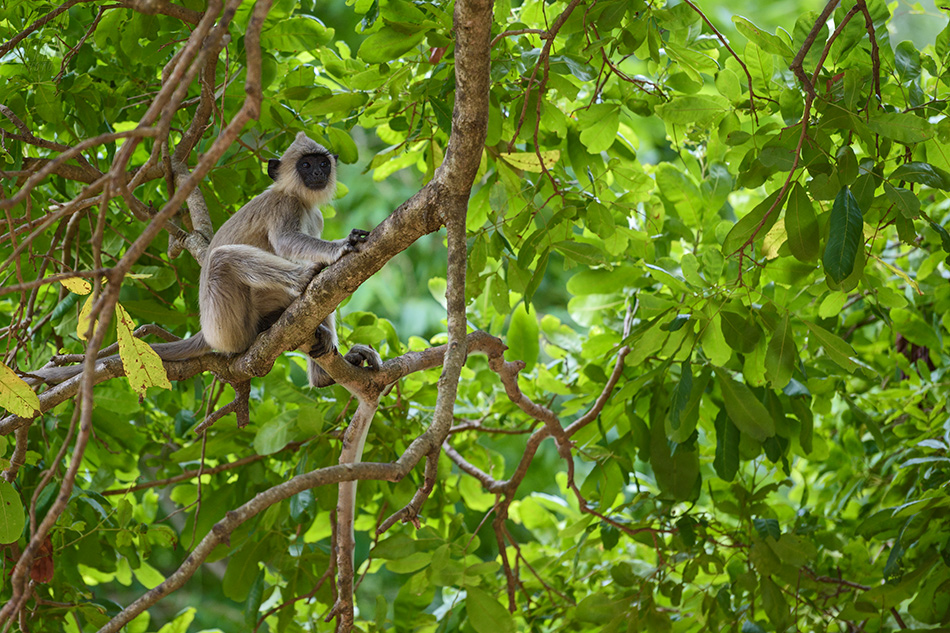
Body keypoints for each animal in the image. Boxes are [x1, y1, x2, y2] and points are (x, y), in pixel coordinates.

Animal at [26, 132, 384, 386]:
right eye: (305, 165)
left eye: (322, 164)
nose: (318, 173)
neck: (301, 199)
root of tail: (205, 329)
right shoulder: (283, 205)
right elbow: (286, 242)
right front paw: (338, 247)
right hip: (227, 320)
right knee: (223, 259)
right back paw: (301, 281)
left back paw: (321, 371)